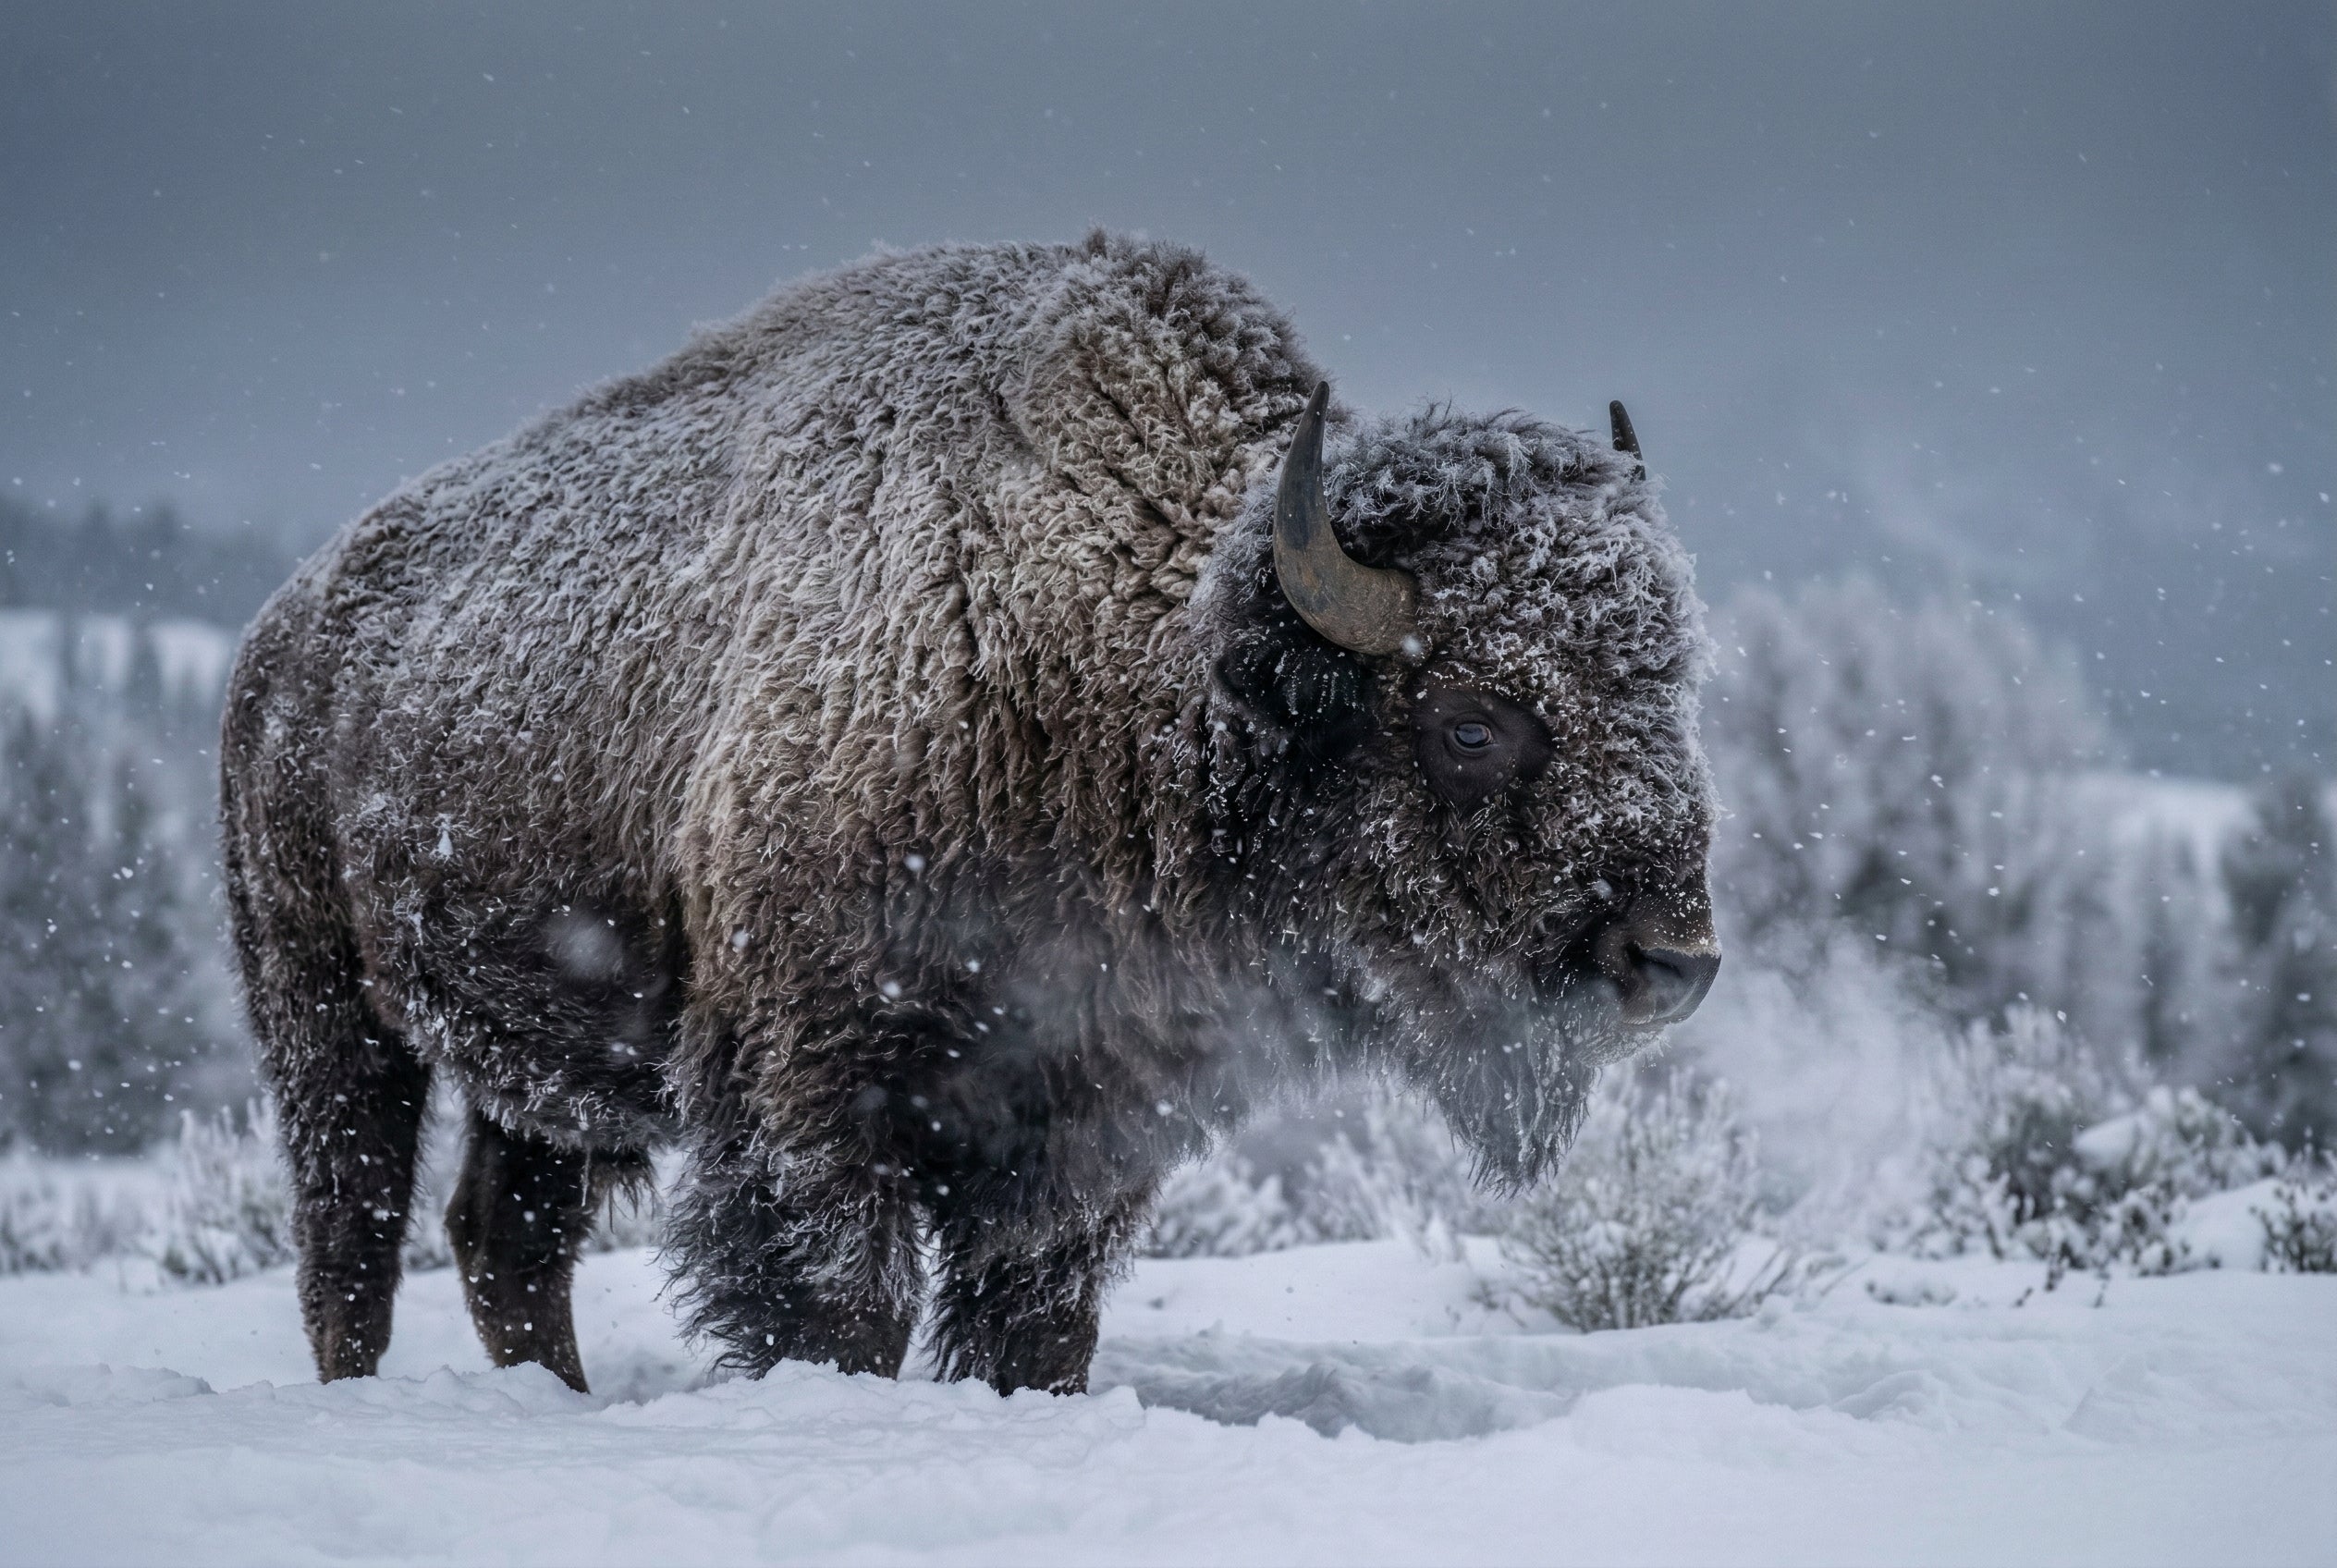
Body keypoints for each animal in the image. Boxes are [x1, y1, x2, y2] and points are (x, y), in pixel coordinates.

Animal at [221, 233, 1718, 1396]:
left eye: (1674, 684)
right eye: (1471, 721)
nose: (1673, 962)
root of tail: (282, 632)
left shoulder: (1087, 1127)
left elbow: (1035, 1326)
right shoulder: (813, 1099)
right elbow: (844, 1311)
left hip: (545, 1065)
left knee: (507, 1238)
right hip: (323, 1007)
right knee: (351, 1231)